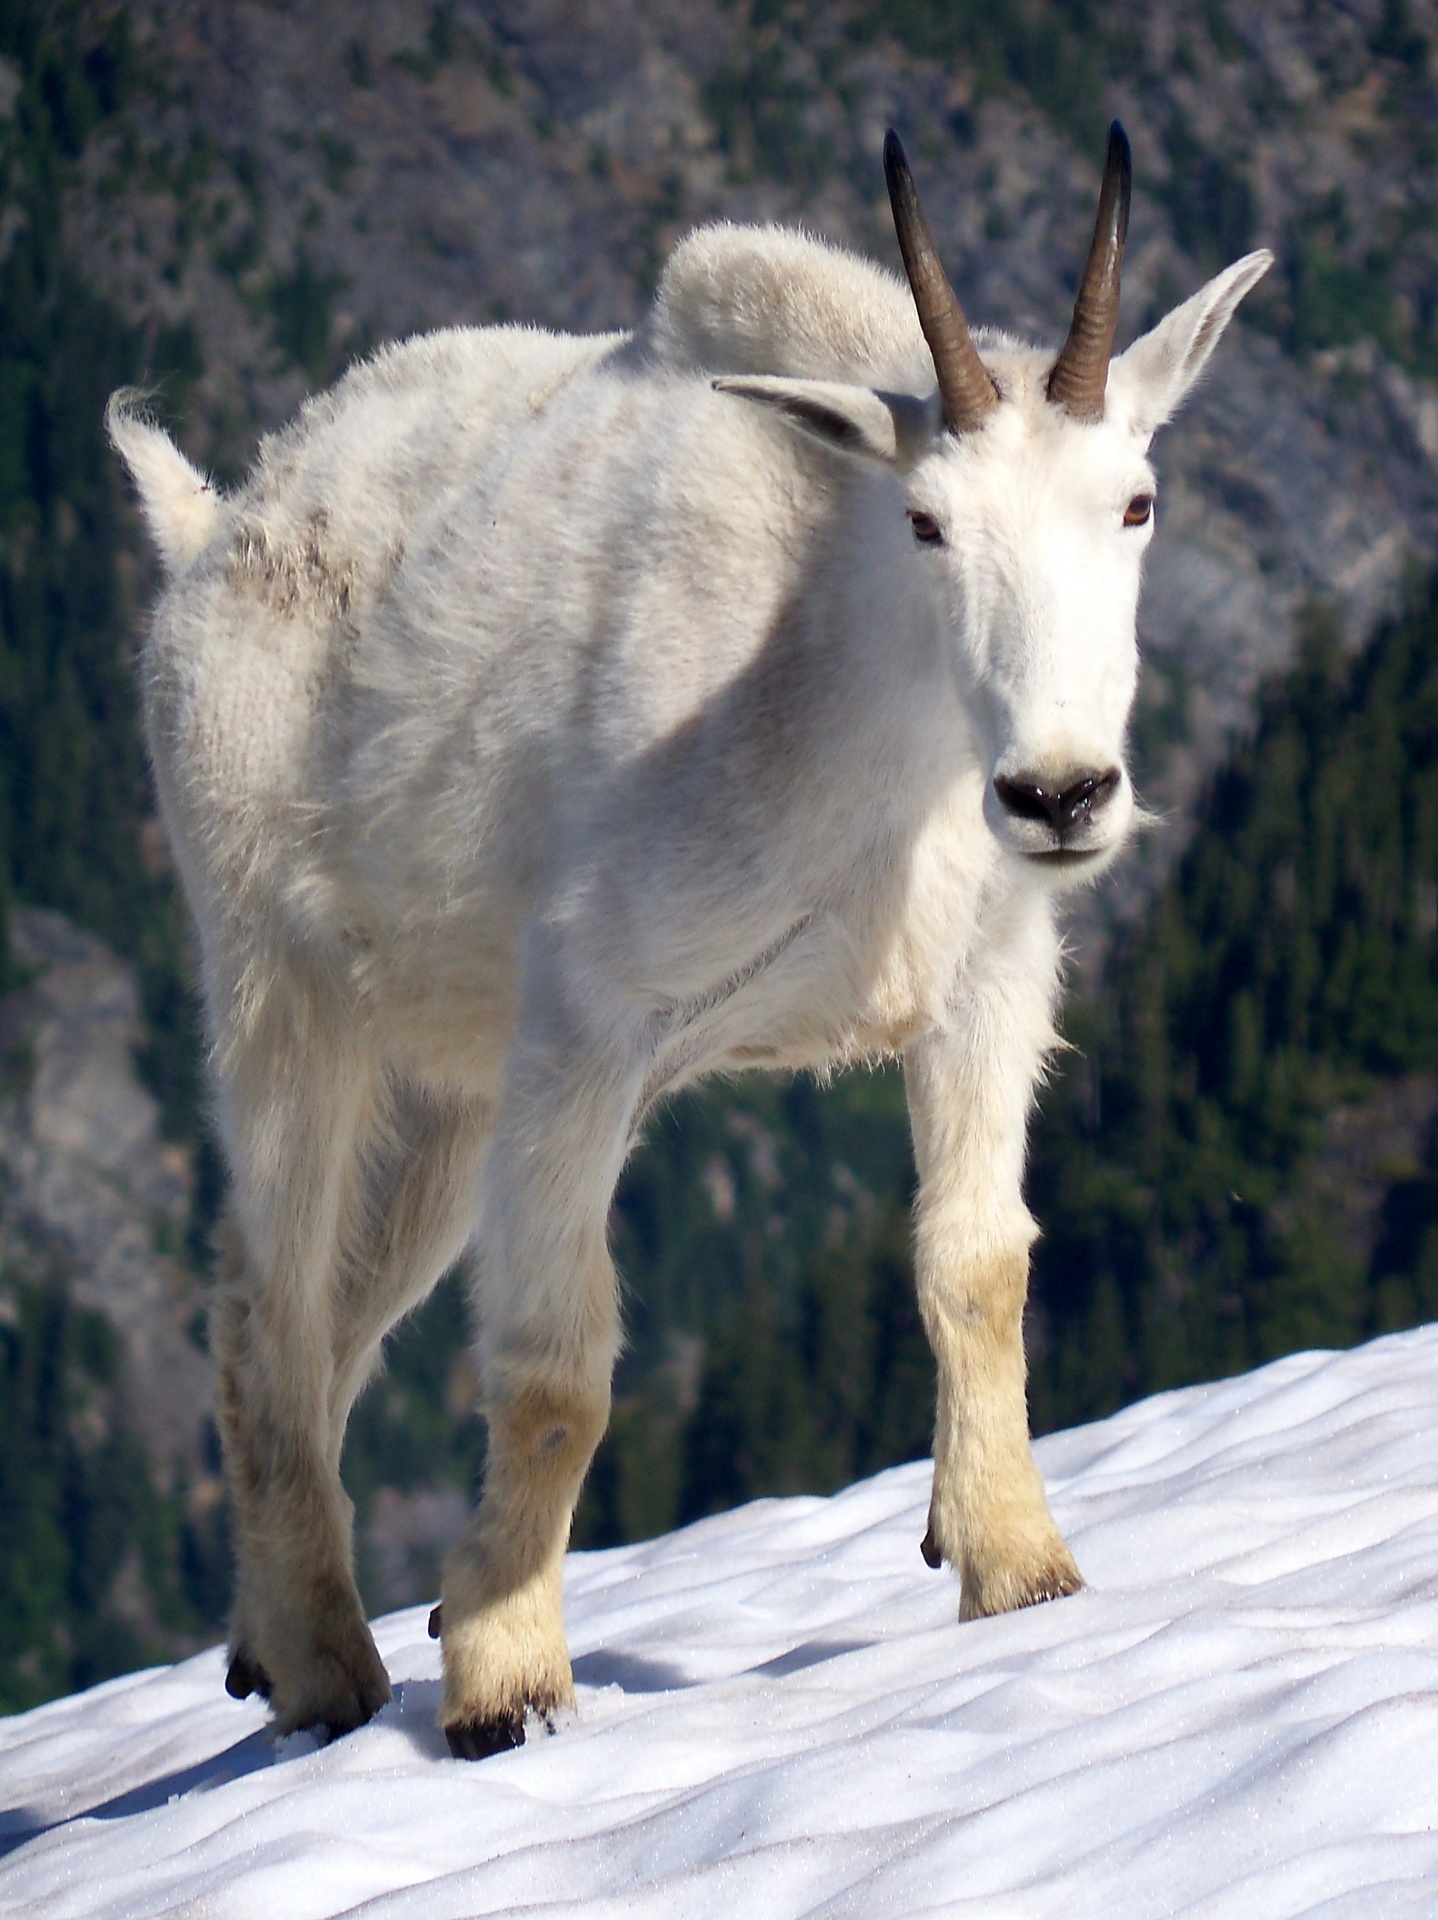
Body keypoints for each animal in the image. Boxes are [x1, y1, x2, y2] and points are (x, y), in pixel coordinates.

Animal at [109, 123, 1267, 1758]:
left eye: (1138, 501)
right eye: (926, 522)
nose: (1058, 794)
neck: (866, 705)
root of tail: (213, 533)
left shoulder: (983, 986)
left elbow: (978, 1266)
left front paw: (1016, 1570)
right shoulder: (590, 1026)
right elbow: (552, 1371)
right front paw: (506, 1686)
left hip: (448, 1091)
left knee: (331, 1315)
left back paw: (264, 1650)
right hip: (282, 988)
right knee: (264, 1303)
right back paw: (331, 1667)